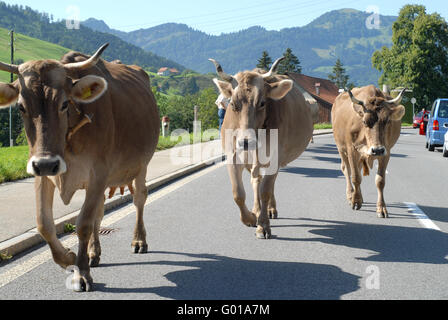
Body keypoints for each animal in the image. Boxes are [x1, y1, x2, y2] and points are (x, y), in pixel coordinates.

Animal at [0, 45, 160, 292]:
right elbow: (44, 224)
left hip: (141, 165)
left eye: (64, 104)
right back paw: (94, 253)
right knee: (99, 212)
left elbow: (83, 223)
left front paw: (81, 273)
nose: (46, 163)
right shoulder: (42, 175)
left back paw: (139, 240)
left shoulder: (98, 174)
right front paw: (69, 257)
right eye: (20, 107)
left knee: (139, 199)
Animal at [209, 57, 312, 239]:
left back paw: (270, 209)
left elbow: (266, 190)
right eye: (233, 104)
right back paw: (256, 210)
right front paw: (250, 218)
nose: (245, 142)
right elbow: (238, 193)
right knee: (256, 180)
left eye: (262, 103)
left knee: (268, 185)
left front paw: (263, 225)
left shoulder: (275, 157)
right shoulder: (233, 156)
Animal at [332, 85, 406, 219]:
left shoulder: (386, 152)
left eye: (387, 121)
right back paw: (350, 195)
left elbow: (380, 181)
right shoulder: (351, 149)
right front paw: (355, 201)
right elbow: (355, 177)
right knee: (346, 169)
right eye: (365, 122)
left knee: (358, 169)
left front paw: (381, 208)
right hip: (341, 148)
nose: (377, 150)